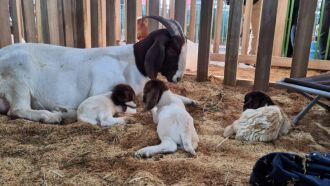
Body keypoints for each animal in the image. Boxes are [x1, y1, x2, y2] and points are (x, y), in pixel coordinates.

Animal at [0, 15, 196, 123]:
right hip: (18, 81)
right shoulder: (103, 91)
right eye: (172, 50)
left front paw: (192, 101)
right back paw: (51, 116)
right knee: (16, 109)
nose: (178, 78)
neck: (131, 62)